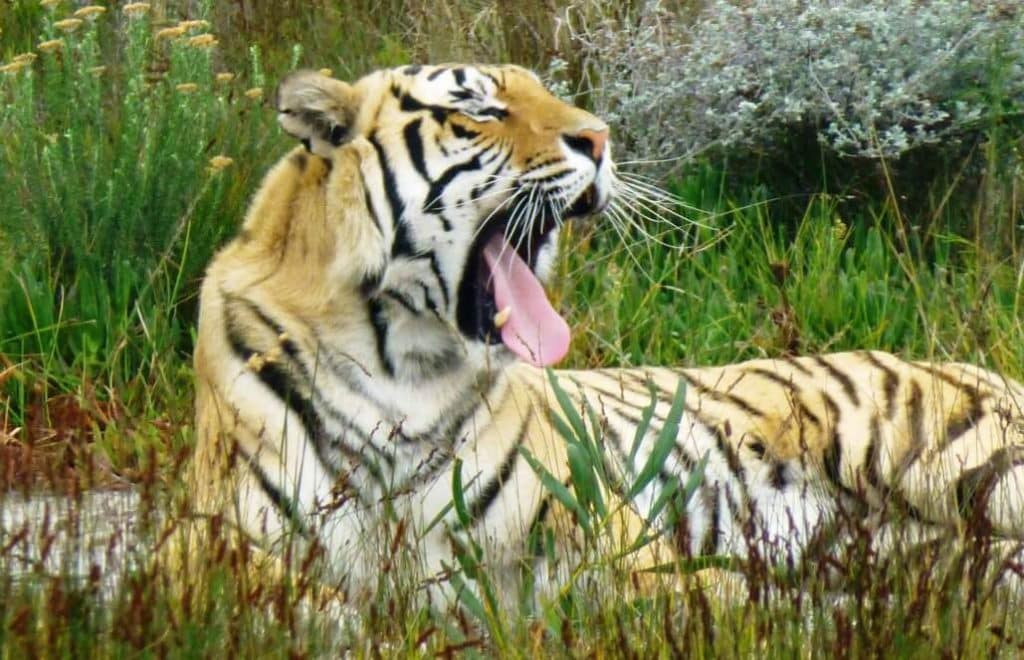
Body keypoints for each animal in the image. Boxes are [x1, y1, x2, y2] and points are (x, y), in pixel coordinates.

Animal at [189, 63, 1024, 605]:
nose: (599, 138)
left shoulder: (610, 539)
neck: (404, 369)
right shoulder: (215, 544)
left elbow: (680, 595)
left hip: (965, 466)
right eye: (480, 109)